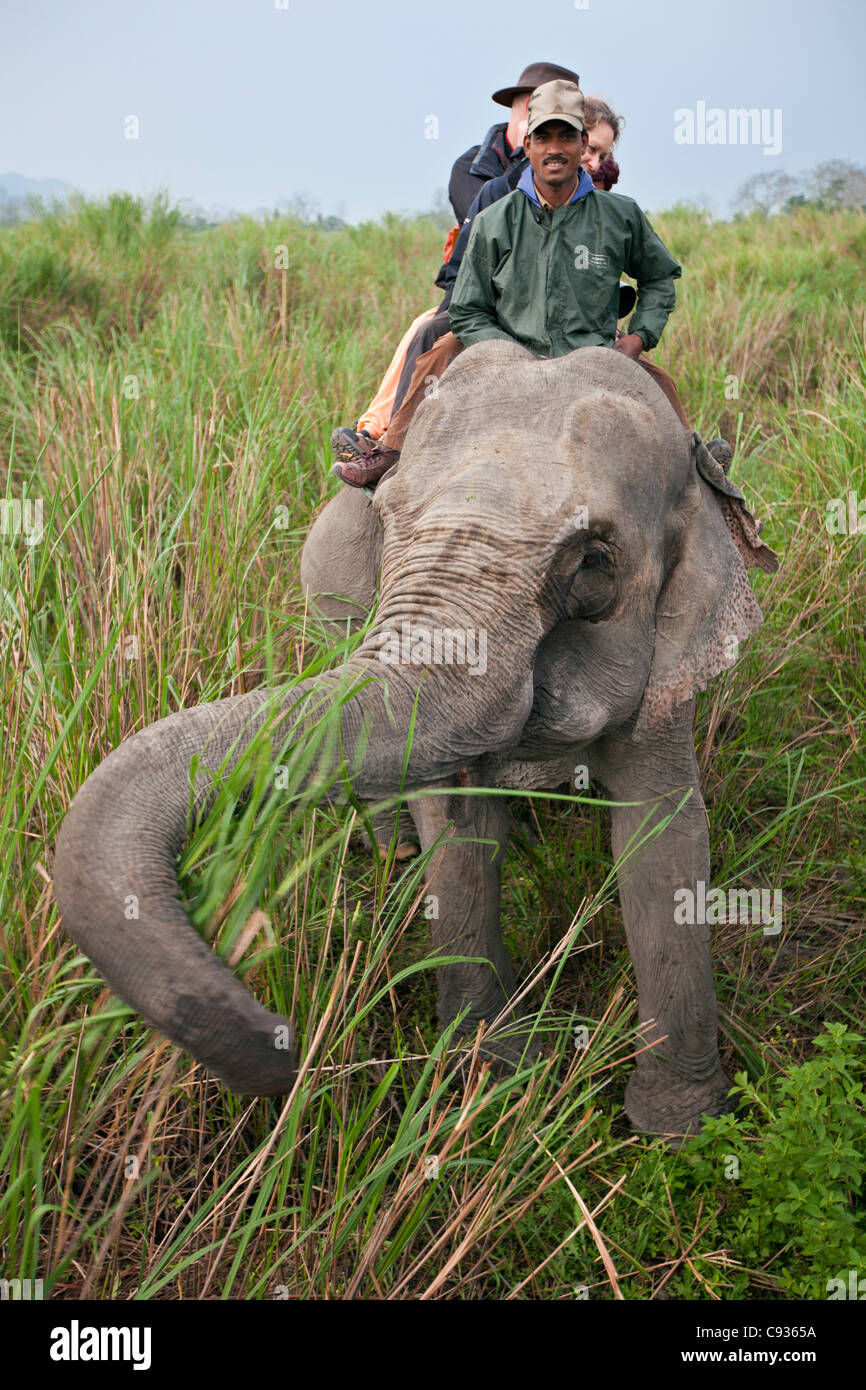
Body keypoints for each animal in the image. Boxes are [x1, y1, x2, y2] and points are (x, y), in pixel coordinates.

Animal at [54, 342, 778, 1140]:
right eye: (388, 517)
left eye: (593, 561)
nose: (283, 1042)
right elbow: (458, 828)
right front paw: (497, 1073)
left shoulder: (669, 663)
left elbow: (663, 837)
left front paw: (677, 1132)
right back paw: (397, 853)